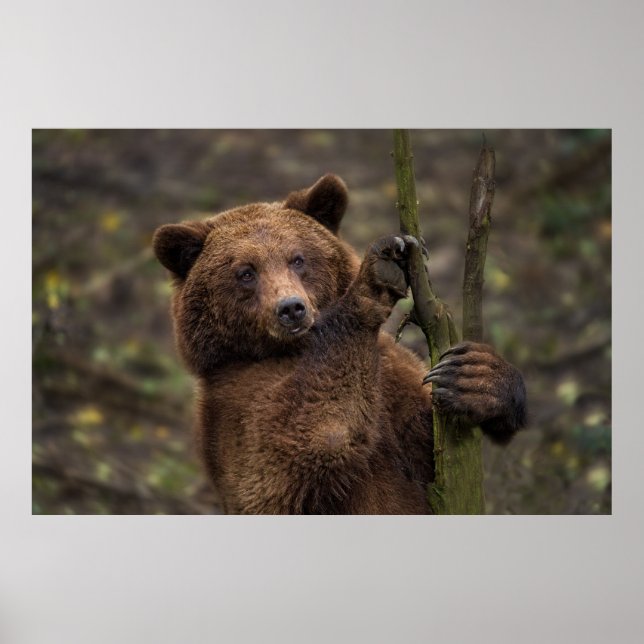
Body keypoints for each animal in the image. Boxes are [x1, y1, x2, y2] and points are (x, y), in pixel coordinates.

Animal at [153, 174, 526, 514]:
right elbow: (305, 441)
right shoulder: (237, 406)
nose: (291, 308)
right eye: (246, 272)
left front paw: (473, 376)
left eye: (298, 258)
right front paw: (376, 273)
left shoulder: (396, 382)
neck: (294, 349)